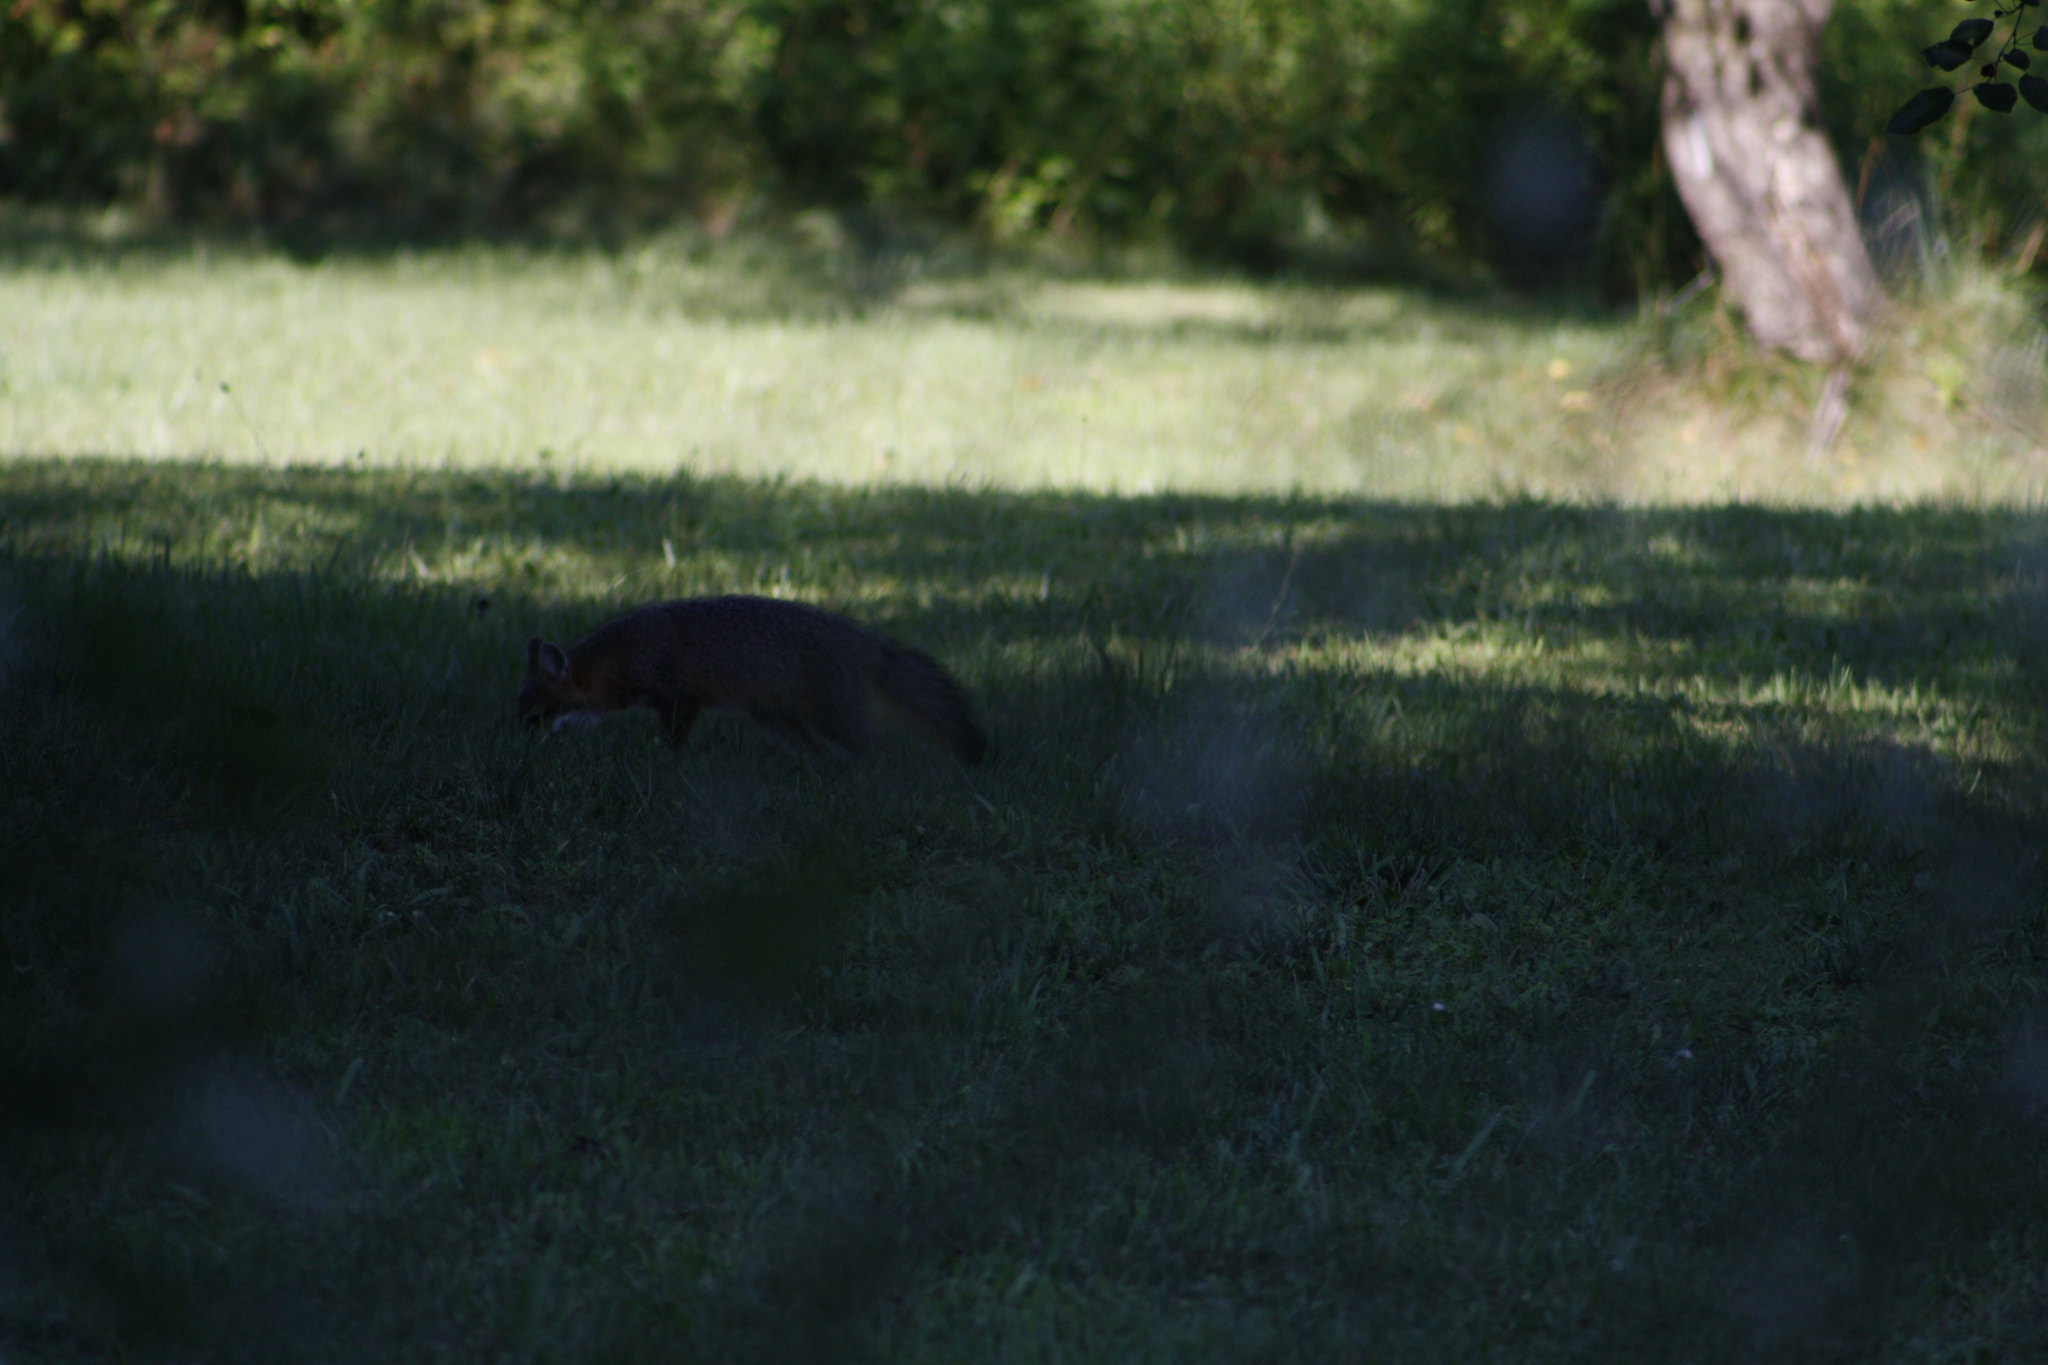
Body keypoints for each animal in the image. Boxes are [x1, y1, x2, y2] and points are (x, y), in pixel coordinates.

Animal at [517, 595, 987, 763]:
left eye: (537, 710)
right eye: (522, 709)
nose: (519, 735)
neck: (626, 650)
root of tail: (866, 640)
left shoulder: (681, 700)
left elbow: (669, 740)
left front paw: (660, 759)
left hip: (836, 720)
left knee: (880, 751)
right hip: (777, 722)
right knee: (819, 754)